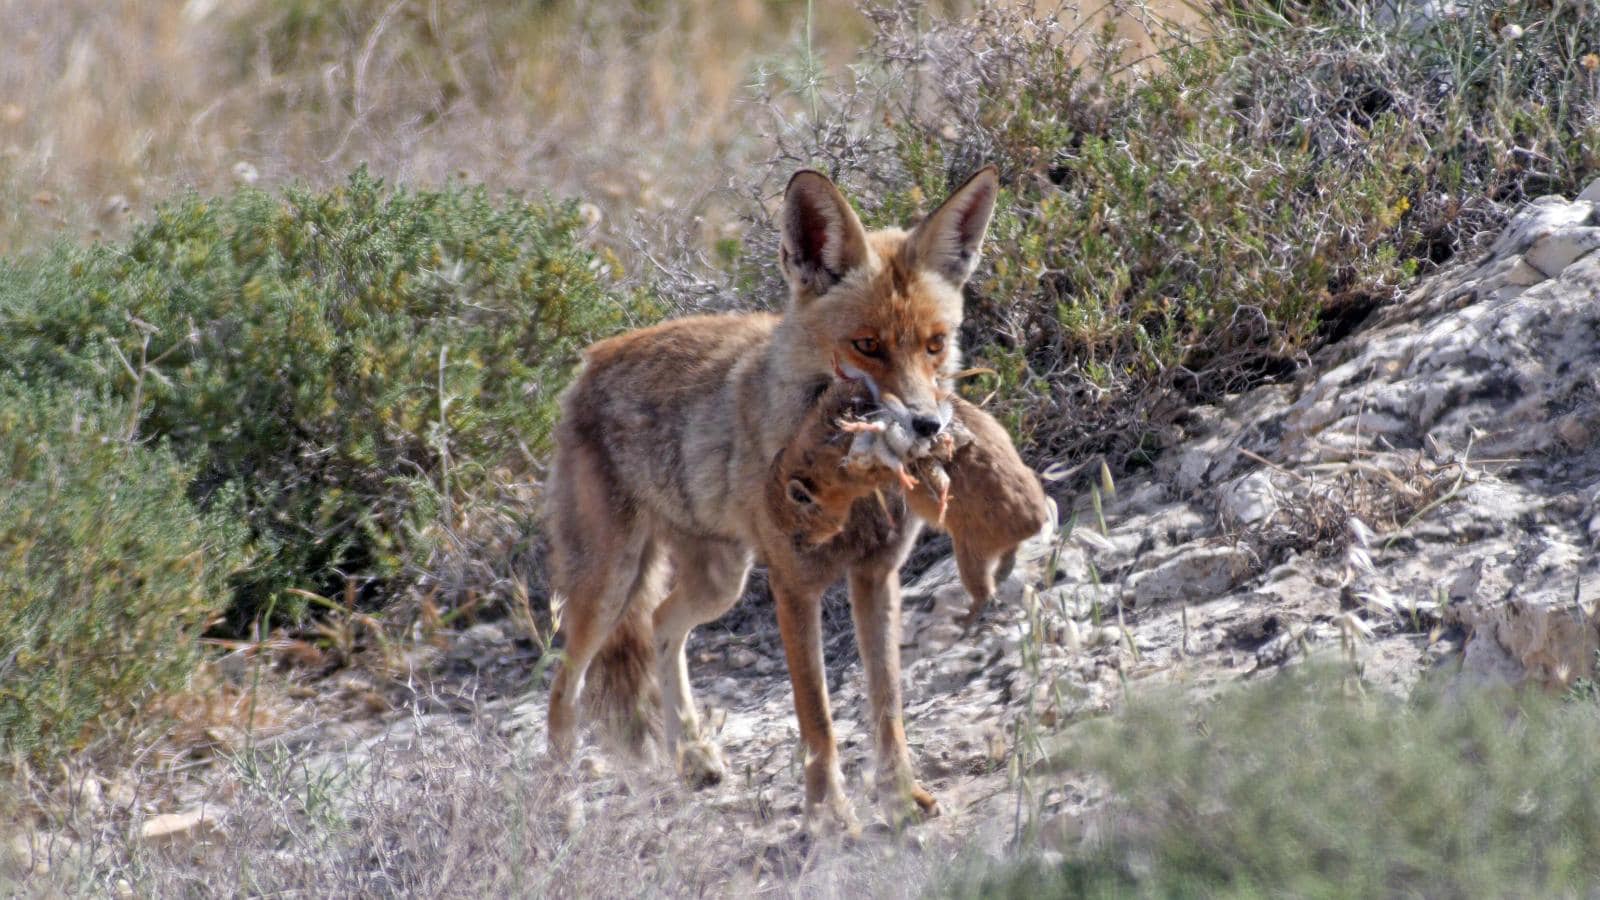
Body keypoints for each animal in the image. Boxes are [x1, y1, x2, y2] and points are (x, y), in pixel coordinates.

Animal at [543, 165, 999, 831]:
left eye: (935, 345)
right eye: (866, 345)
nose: (925, 426)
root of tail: (587, 361)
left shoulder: (876, 576)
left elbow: (886, 704)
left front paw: (898, 797)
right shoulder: (794, 585)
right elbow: (818, 718)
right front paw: (830, 816)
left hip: (720, 581)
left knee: (660, 624)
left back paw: (692, 754)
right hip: (608, 587)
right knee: (564, 687)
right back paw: (559, 806)